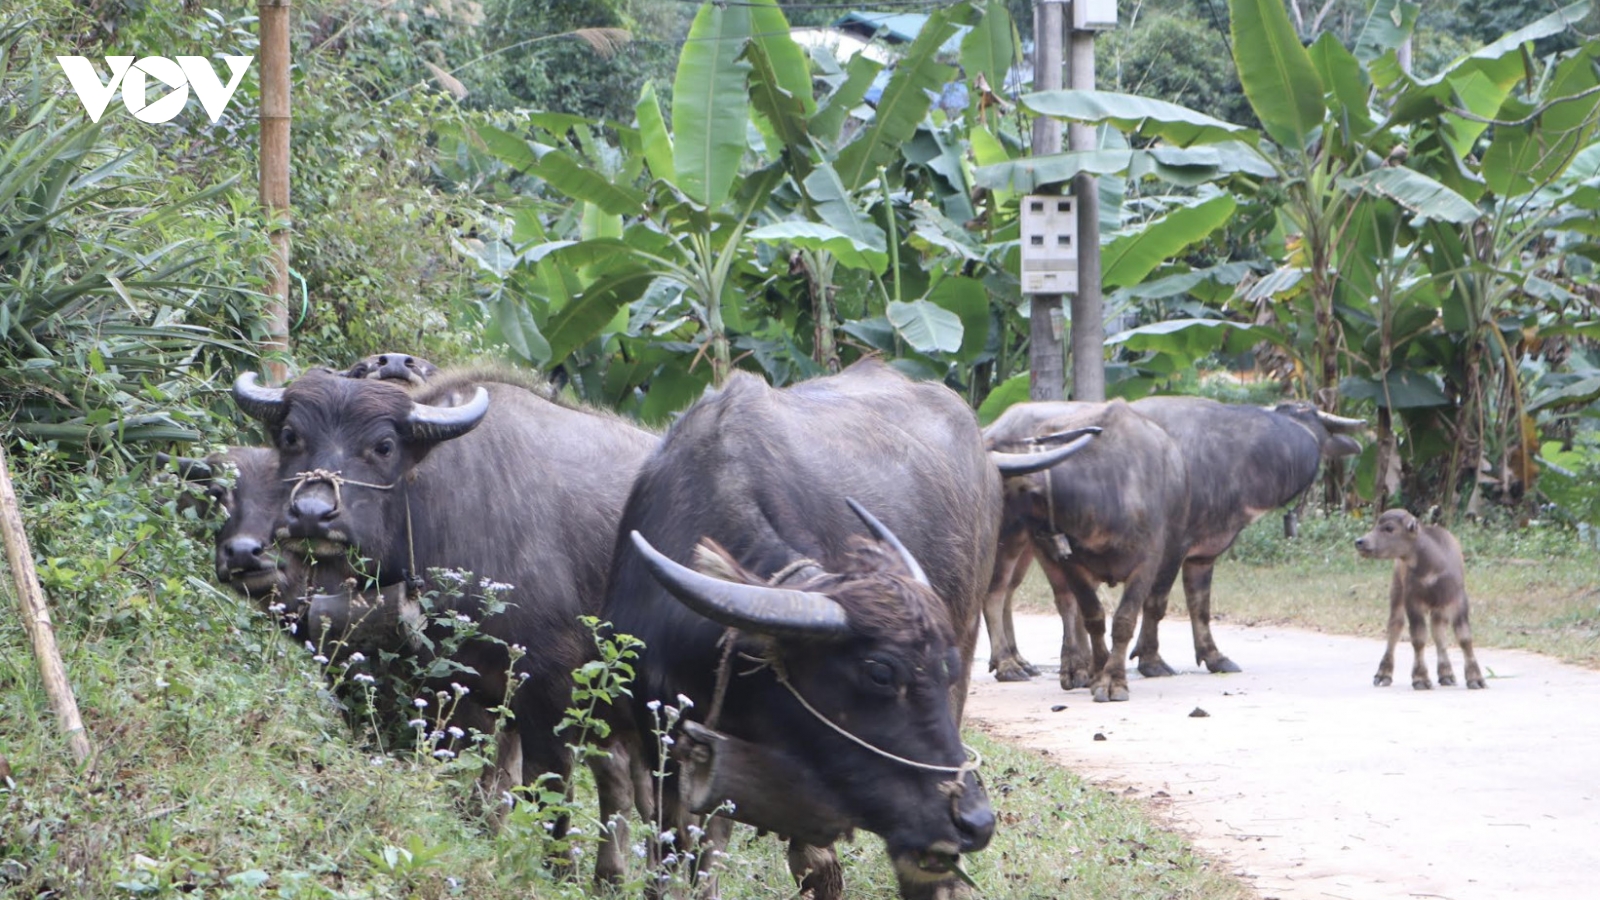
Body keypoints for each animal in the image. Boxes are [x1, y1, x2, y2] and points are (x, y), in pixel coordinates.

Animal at [233, 361, 662, 877]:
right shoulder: (461, 692)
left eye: (384, 446)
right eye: (291, 436)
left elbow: (550, 793)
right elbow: (480, 790)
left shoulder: (551, 693)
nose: (312, 514)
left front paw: (554, 870)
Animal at [979, 398, 1196, 701]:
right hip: (1012, 540)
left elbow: (1124, 619)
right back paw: (1010, 664)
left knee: (1016, 594)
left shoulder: (1149, 561)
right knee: (999, 594)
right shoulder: (1072, 564)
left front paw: (1111, 679)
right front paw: (1101, 674)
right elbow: (1092, 616)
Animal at [1126, 393, 1363, 672]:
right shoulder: (1170, 550)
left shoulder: (1203, 553)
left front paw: (1215, 657)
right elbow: (1155, 603)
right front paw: (1151, 661)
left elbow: (1200, 606)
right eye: (1309, 413)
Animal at [1356, 509, 1491, 688]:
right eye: (1376, 525)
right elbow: (1418, 639)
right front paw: (1420, 679)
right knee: (1394, 628)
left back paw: (1446, 674)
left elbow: (1464, 638)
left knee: (1438, 631)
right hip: (1397, 591)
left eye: (1389, 528)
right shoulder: (1413, 602)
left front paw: (1475, 678)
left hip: (1440, 607)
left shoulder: (1458, 600)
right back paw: (1383, 674)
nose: (1360, 541)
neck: (1432, 567)